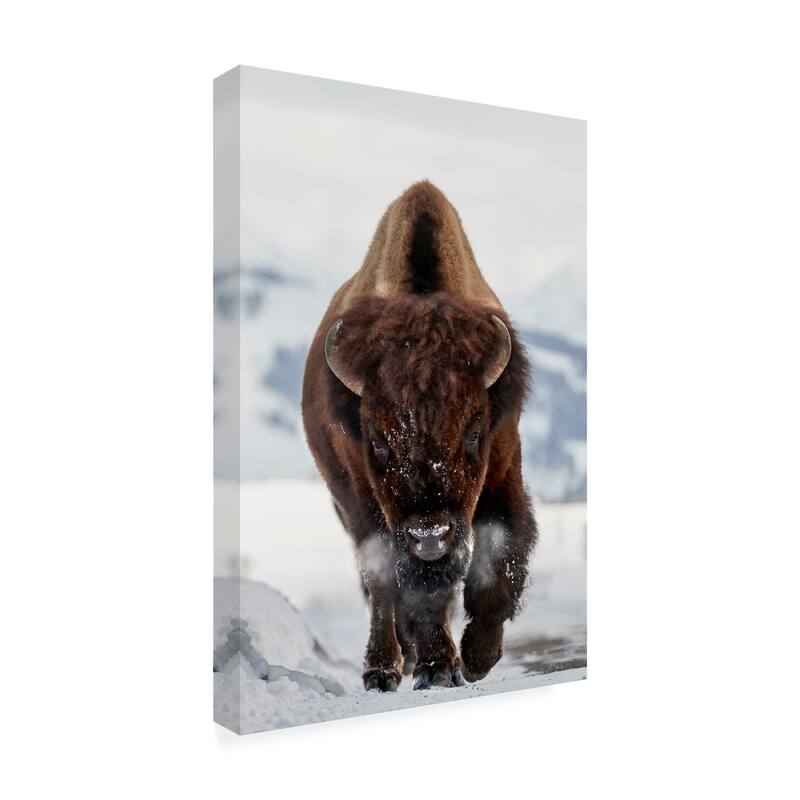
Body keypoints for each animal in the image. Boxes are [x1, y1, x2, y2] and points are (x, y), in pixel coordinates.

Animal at [302, 181, 537, 691]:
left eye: (474, 433)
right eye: (377, 441)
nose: (430, 538)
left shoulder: (503, 467)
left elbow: (501, 556)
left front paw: (477, 658)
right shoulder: (369, 499)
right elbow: (404, 586)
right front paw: (437, 667)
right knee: (380, 585)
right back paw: (384, 668)